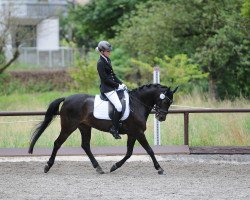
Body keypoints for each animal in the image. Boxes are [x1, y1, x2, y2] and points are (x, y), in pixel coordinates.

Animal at [28, 83, 178, 174]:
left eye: (171, 102)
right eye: (166, 101)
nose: (161, 117)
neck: (137, 104)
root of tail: (66, 99)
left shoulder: (132, 133)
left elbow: (129, 153)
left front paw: (114, 166)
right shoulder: (138, 132)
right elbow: (149, 150)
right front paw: (159, 168)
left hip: (84, 127)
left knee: (85, 146)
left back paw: (98, 167)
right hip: (68, 127)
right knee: (57, 143)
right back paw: (47, 166)